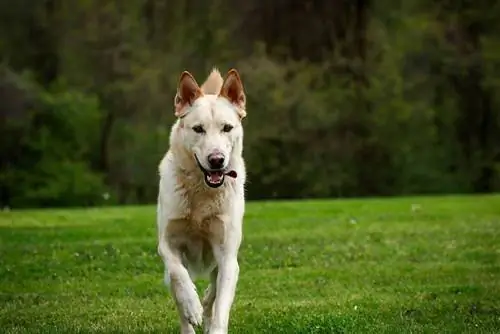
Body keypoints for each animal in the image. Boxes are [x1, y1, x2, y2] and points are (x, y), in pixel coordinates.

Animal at [157, 68, 247, 334]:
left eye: (227, 128)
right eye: (198, 129)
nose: (216, 160)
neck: (201, 192)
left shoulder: (227, 256)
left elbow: (221, 307)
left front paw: (211, 322)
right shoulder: (166, 244)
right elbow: (179, 275)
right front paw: (192, 306)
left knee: (213, 294)